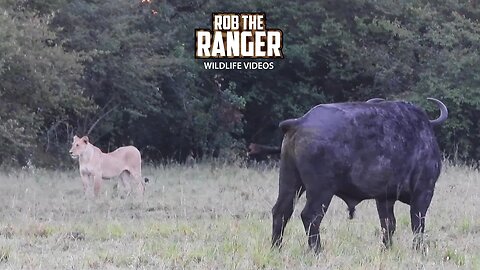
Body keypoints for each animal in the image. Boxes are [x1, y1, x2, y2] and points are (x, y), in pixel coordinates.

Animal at [272, 97, 448, 253]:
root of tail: (300, 122)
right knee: (310, 216)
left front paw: (386, 248)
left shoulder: (384, 198)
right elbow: (417, 222)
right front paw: (419, 249)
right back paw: (317, 250)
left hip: (290, 181)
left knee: (281, 211)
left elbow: (388, 224)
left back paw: (276, 247)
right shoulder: (424, 191)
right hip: (321, 189)